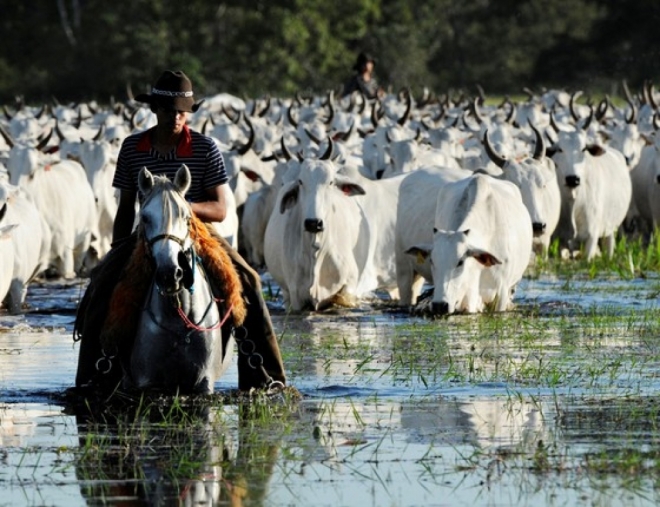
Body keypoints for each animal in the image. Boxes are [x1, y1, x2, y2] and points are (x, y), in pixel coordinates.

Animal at [548, 122, 632, 258]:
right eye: (560, 149)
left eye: (584, 149)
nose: (572, 179)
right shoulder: (559, 240)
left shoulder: (591, 237)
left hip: (610, 229)